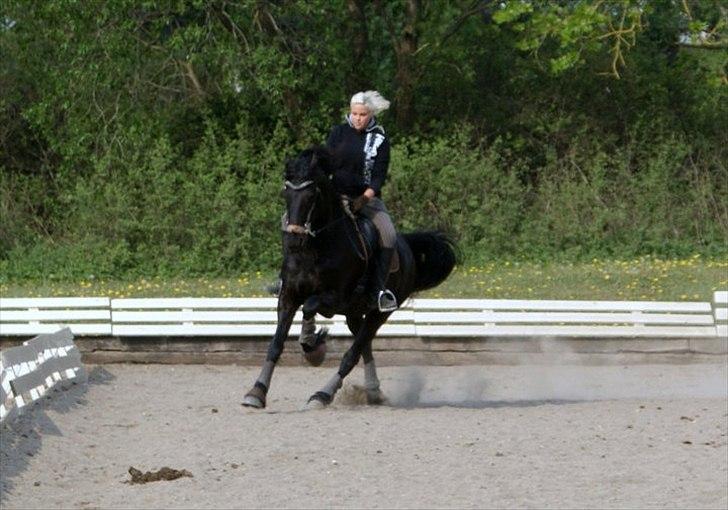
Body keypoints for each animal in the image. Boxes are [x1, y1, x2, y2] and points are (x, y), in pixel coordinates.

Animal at [242, 145, 456, 408]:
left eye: (312, 195)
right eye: (286, 192)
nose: (293, 240)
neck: (315, 248)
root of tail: (407, 247)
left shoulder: (335, 298)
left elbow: (309, 306)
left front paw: (313, 346)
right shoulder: (289, 296)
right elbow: (275, 344)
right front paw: (256, 392)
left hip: (377, 312)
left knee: (353, 353)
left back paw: (323, 395)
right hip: (355, 313)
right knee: (365, 346)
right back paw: (373, 392)